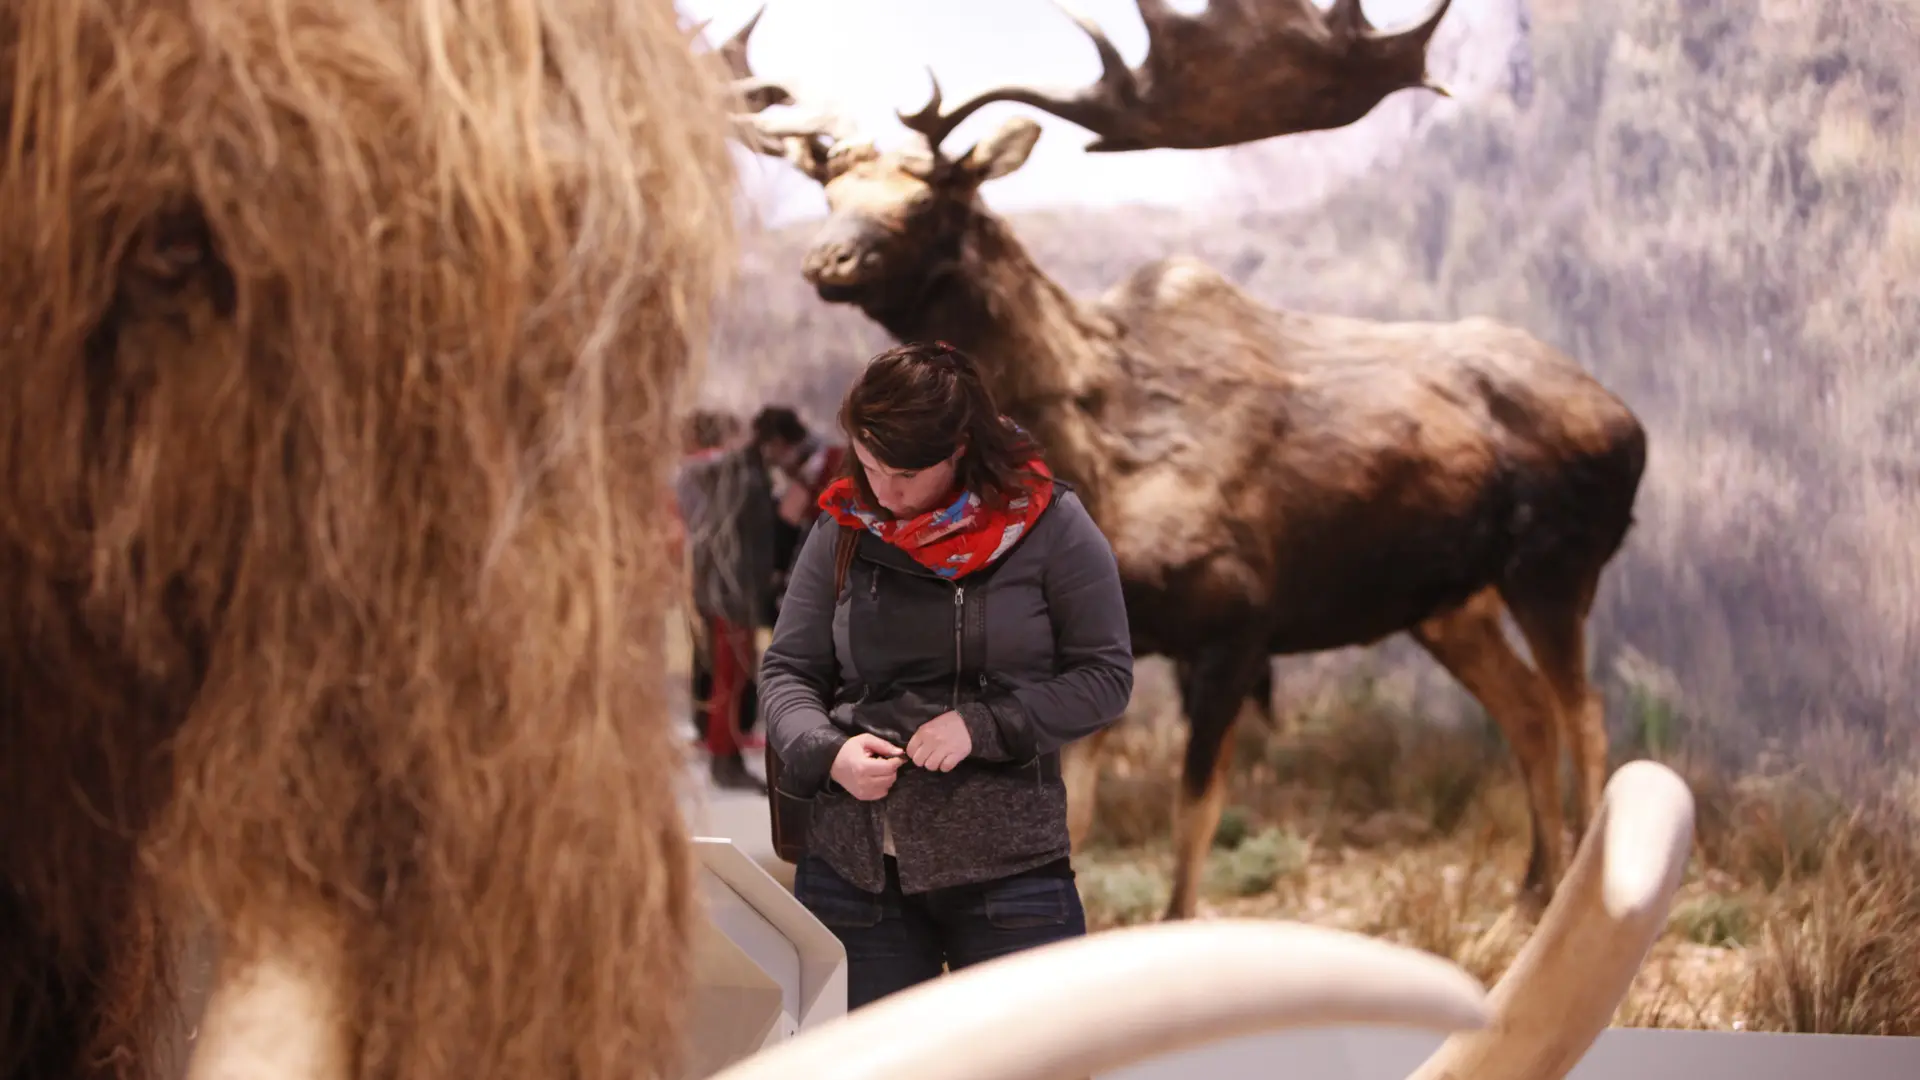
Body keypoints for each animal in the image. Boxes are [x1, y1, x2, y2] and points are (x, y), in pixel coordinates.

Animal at [721, 2, 1651, 914]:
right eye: (831, 191)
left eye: (929, 202)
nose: (826, 257)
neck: (1104, 466)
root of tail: (1629, 421)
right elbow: (1080, 818)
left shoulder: (1238, 622)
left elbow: (1192, 825)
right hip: (1452, 602)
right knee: (1528, 709)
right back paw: (1530, 886)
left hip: (1557, 563)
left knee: (1587, 709)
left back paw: (1580, 886)